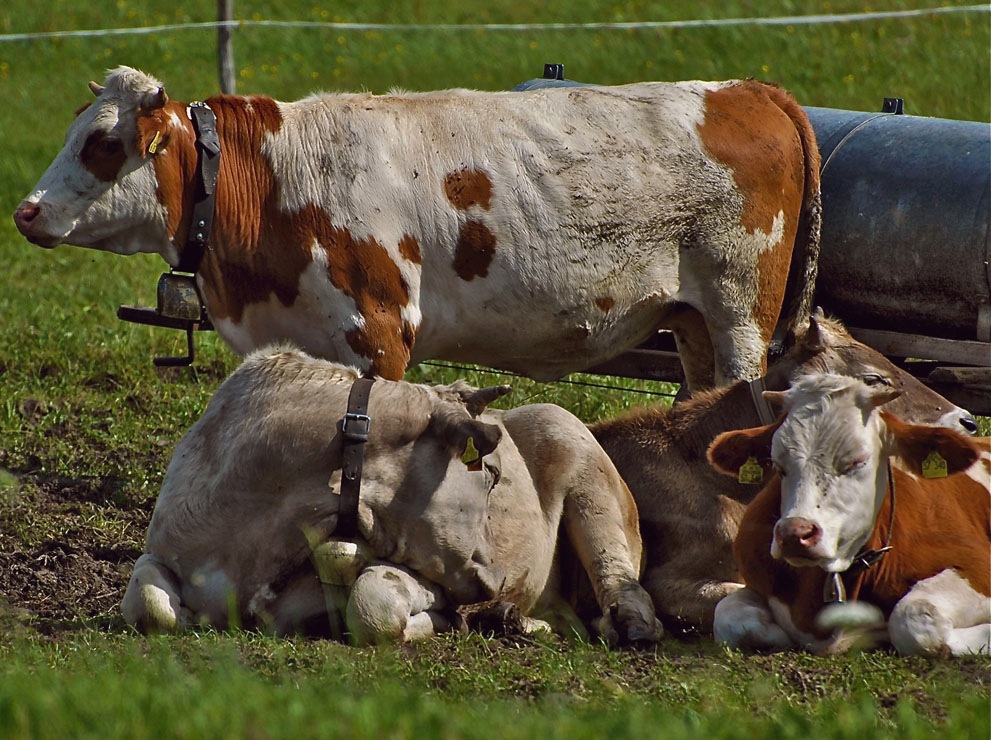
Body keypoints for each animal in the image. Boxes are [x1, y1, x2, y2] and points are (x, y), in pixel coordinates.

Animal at [14, 66, 822, 391]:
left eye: (103, 144)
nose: (26, 210)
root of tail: (743, 90)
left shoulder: (378, 339)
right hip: (691, 325)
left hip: (739, 318)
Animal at [120, 345, 662, 646]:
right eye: (488, 473)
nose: (497, 577)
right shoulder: (165, 550)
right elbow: (148, 604)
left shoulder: (422, 576)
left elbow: (373, 603)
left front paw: (437, 623)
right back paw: (513, 621)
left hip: (576, 452)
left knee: (618, 576)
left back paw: (631, 624)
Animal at [707, 373, 990, 656]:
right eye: (778, 465)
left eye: (857, 461)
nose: (793, 534)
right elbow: (729, 615)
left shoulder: (976, 565)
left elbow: (914, 618)